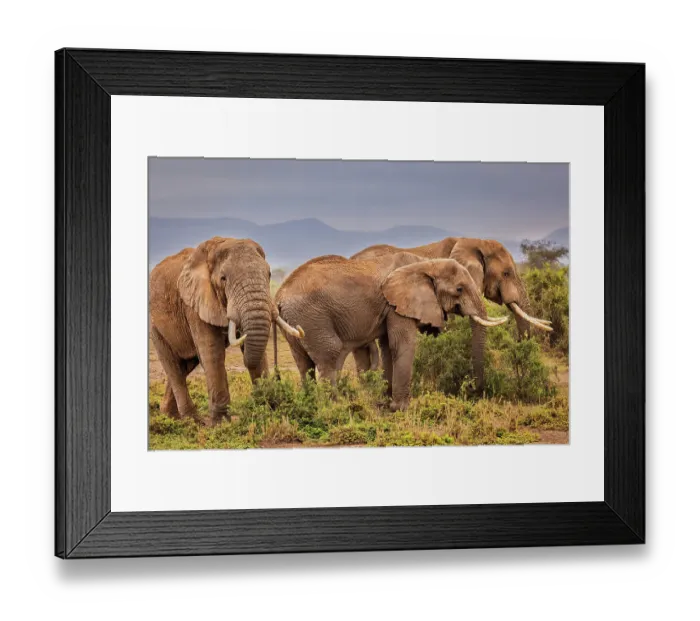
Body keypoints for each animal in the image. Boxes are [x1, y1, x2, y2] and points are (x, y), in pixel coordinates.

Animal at [149, 236, 303, 425]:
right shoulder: (194, 306)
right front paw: (222, 423)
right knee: (173, 365)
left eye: (269, 275)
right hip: (154, 325)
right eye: (223, 278)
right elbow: (212, 353)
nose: (278, 379)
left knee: (186, 364)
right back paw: (192, 421)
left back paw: (170, 417)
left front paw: (267, 410)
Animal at [274, 252, 507, 411]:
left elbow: (387, 347)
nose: (473, 390)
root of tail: (278, 296)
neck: (426, 262)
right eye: (459, 289)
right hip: (312, 318)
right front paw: (402, 408)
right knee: (328, 355)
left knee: (304, 364)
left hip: (297, 322)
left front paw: (386, 403)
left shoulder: (391, 307)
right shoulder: (398, 304)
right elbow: (402, 345)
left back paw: (311, 403)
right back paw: (335, 407)